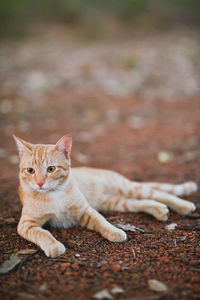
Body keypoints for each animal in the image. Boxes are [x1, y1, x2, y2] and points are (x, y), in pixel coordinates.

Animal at [13, 134, 197, 258]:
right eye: (30, 170)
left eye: (51, 169)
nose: (39, 183)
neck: (54, 195)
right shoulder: (26, 224)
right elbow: (42, 233)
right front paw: (54, 246)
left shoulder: (85, 210)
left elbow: (102, 221)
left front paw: (114, 231)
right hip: (117, 202)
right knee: (143, 201)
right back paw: (159, 210)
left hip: (128, 187)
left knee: (159, 193)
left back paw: (185, 206)